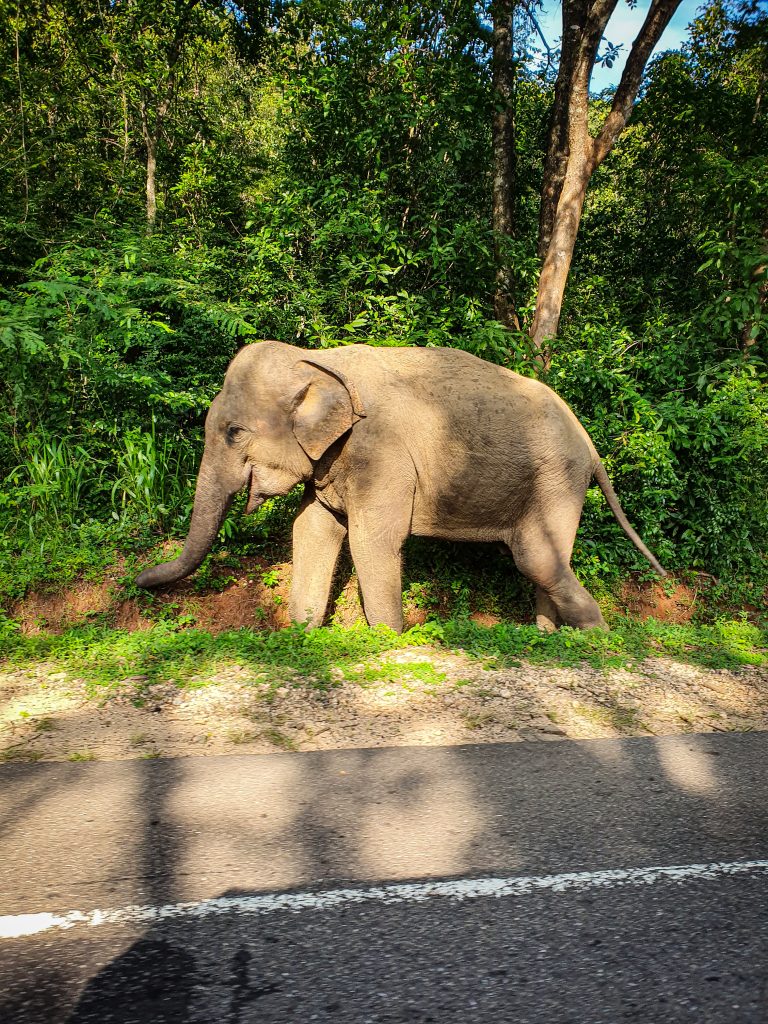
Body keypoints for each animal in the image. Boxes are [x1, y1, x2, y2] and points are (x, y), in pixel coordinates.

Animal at [137, 342, 667, 630]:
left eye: (233, 432)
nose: (137, 583)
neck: (317, 361)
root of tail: (590, 444)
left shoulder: (382, 454)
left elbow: (372, 540)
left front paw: (387, 640)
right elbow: (312, 529)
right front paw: (302, 633)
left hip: (556, 479)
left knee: (537, 558)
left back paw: (597, 640)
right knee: (545, 562)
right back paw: (546, 637)